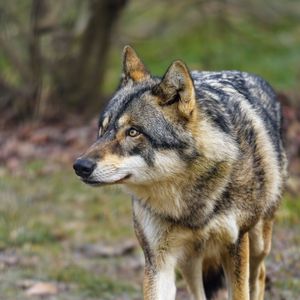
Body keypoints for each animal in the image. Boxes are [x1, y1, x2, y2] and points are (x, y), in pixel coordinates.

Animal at [74, 45, 288, 300]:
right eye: (102, 129)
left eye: (133, 132)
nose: (80, 166)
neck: (188, 201)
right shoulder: (158, 260)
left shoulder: (235, 245)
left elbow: (240, 293)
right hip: (189, 260)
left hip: (258, 243)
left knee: (260, 275)